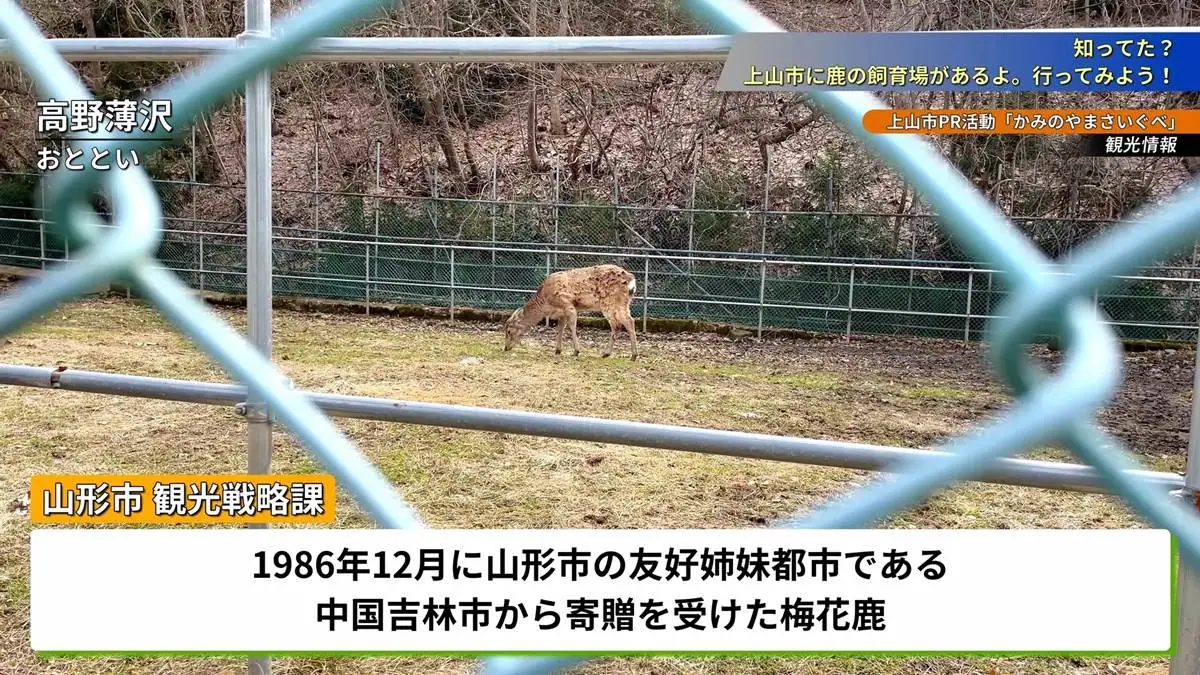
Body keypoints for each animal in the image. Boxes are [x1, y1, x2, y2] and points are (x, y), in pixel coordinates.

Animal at [502, 263, 640, 360]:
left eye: (509, 331)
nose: (505, 347)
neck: (546, 303)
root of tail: (631, 280)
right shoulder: (561, 313)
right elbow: (560, 328)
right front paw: (558, 350)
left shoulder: (568, 305)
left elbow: (572, 326)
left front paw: (576, 351)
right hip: (623, 303)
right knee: (620, 325)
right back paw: (608, 354)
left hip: (611, 302)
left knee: (627, 322)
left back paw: (632, 355)